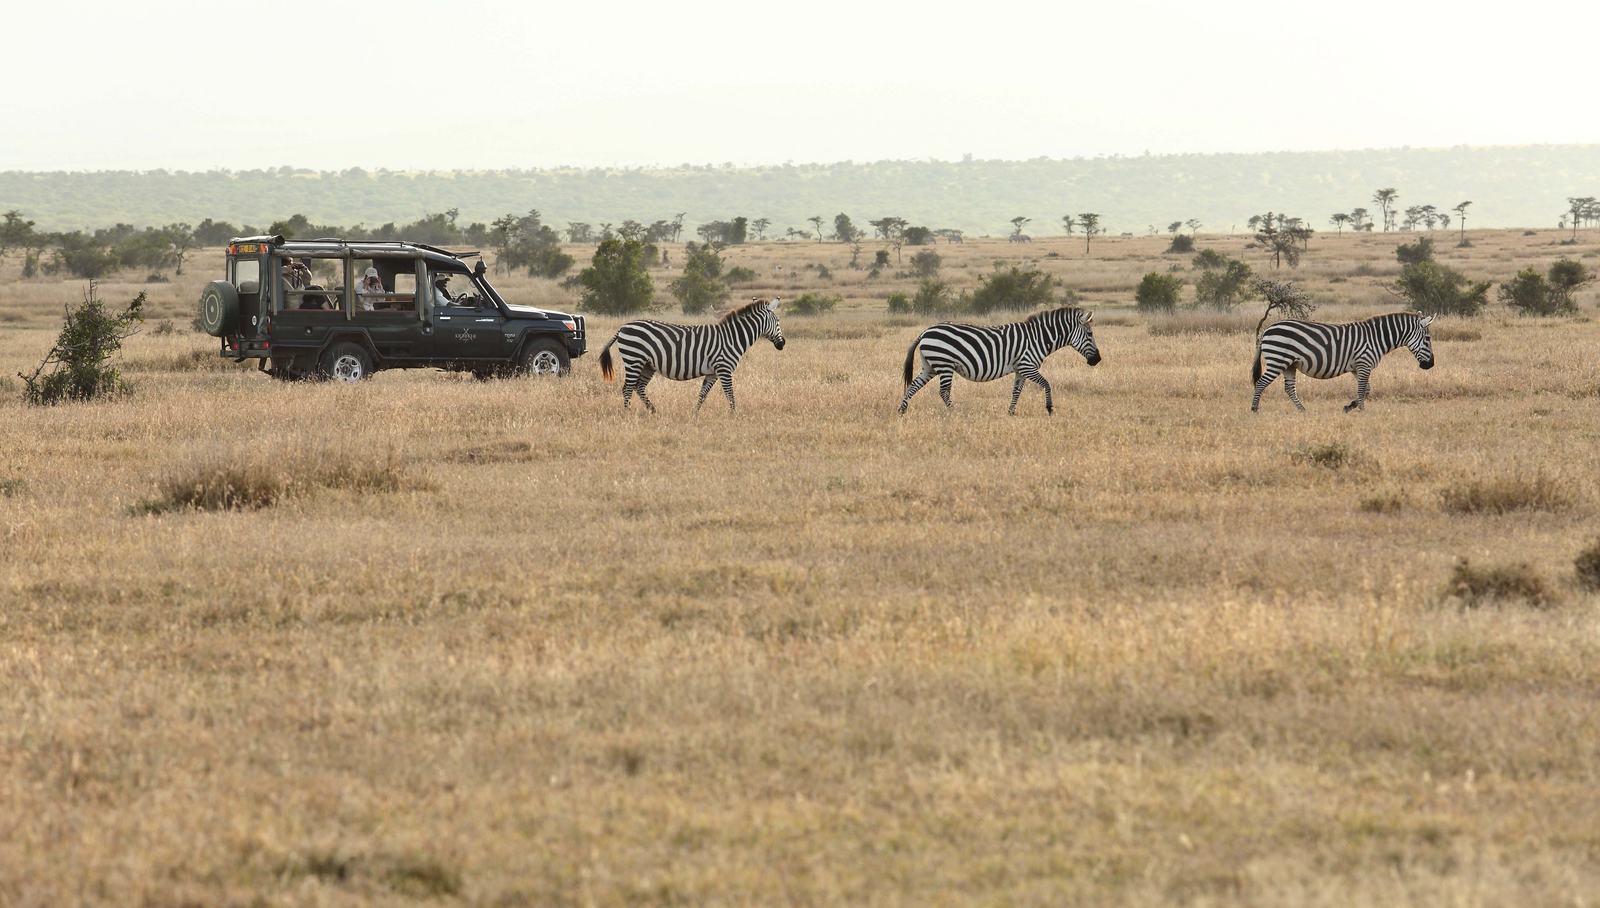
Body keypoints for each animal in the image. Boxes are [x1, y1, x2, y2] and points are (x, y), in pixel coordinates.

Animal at [598, 297, 785, 412]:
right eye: (778, 321)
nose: (782, 344)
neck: (732, 337)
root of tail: (623, 327)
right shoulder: (724, 368)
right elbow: (730, 393)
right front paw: (734, 414)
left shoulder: (712, 372)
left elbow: (703, 394)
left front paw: (694, 413)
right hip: (633, 359)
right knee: (627, 388)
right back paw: (628, 412)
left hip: (647, 364)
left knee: (639, 387)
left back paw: (653, 410)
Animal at [899, 306, 1101, 415]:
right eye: (1090, 334)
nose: (1097, 360)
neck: (1038, 338)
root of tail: (925, 332)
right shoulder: (1027, 366)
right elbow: (1047, 383)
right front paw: (1050, 408)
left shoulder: (1020, 370)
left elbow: (1016, 392)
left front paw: (1011, 412)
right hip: (945, 364)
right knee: (944, 392)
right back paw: (955, 412)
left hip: (930, 366)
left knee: (913, 385)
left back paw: (902, 411)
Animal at [1251, 311, 1434, 413]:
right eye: (1428, 339)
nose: (1430, 365)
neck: (1376, 338)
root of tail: (1267, 329)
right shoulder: (1364, 363)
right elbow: (1362, 390)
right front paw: (1361, 410)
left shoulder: (1356, 367)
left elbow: (1367, 389)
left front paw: (1349, 407)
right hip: (1278, 360)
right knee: (1260, 383)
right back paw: (1254, 409)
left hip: (1289, 364)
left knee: (1289, 388)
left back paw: (1303, 411)